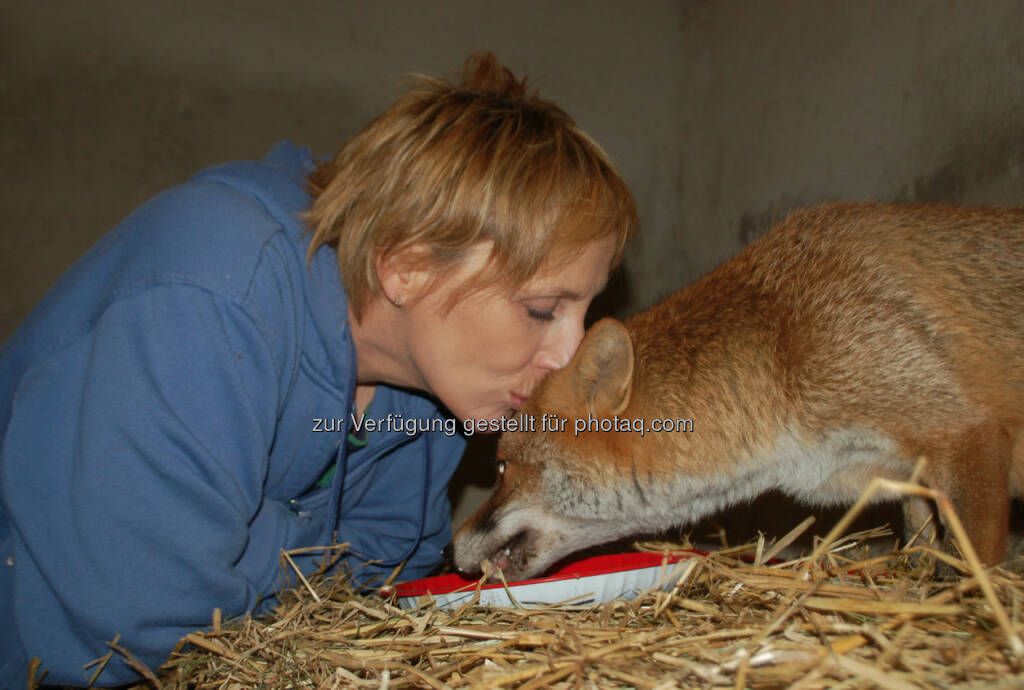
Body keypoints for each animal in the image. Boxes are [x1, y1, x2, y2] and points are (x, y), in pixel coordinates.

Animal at [452, 201, 1019, 577]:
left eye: (501, 468)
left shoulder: (962, 431)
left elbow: (973, 559)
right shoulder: (896, 475)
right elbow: (922, 537)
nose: (446, 550)